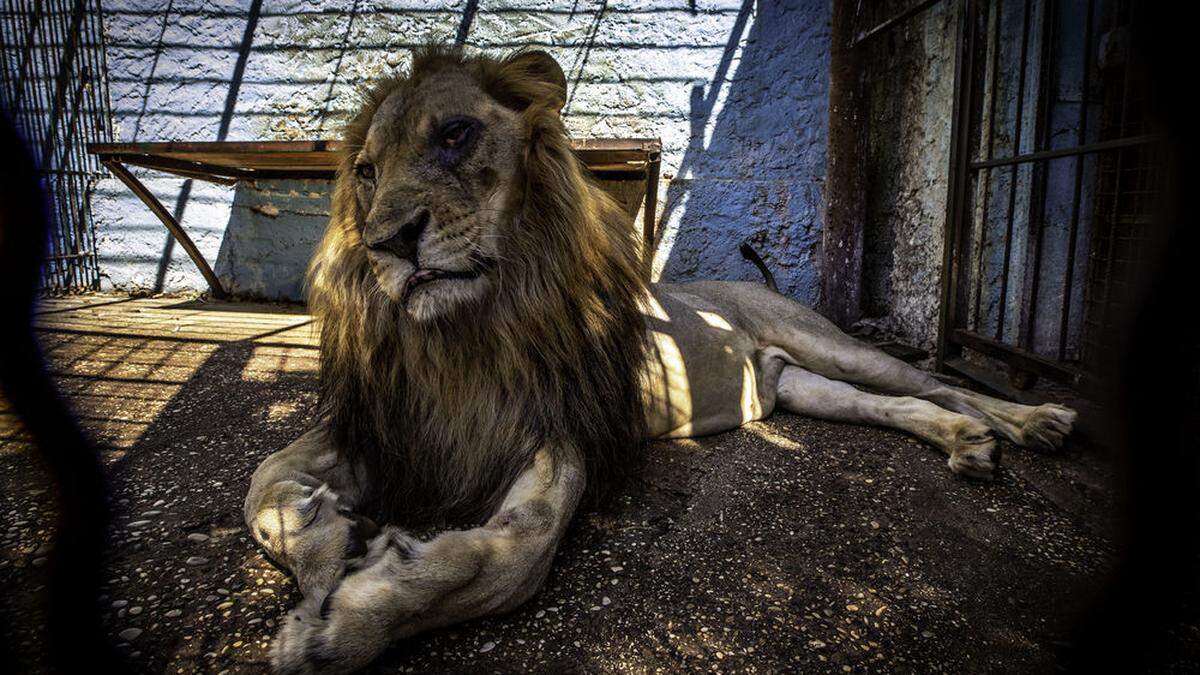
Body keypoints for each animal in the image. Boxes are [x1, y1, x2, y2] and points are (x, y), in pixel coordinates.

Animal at [246, 44, 1080, 667]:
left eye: (453, 134)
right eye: (365, 173)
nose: (388, 243)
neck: (465, 333)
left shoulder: (562, 430)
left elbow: (514, 555)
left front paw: (353, 614)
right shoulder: (386, 425)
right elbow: (264, 490)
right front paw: (329, 550)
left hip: (832, 344)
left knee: (938, 381)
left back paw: (1030, 420)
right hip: (803, 388)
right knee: (902, 405)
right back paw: (969, 442)